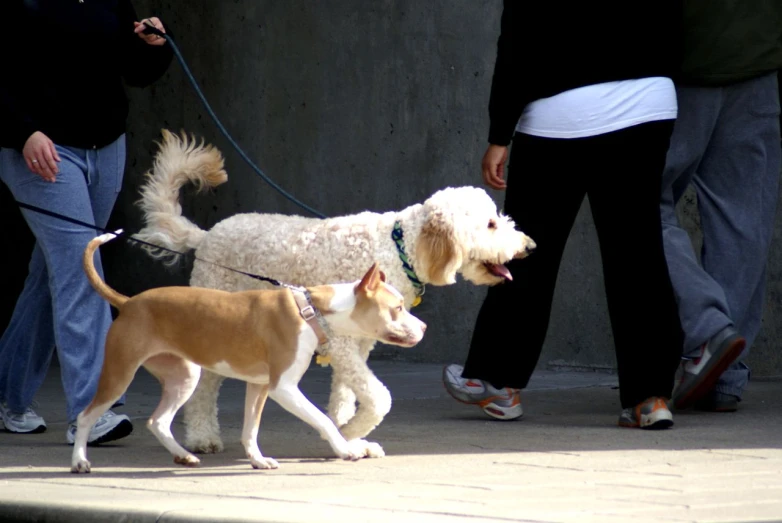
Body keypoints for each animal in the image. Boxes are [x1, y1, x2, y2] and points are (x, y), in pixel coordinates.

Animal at [72, 233, 428, 474]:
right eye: (397, 308)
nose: (424, 327)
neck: (311, 311)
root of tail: (129, 302)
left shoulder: (259, 386)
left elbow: (251, 429)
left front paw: (257, 459)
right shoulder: (283, 388)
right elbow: (324, 419)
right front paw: (344, 449)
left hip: (183, 376)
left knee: (158, 421)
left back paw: (182, 455)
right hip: (120, 372)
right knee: (86, 416)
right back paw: (79, 461)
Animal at [136, 130, 540, 454]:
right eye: (491, 224)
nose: (529, 246)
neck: (396, 247)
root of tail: (206, 236)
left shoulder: (358, 343)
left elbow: (347, 395)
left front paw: (346, 434)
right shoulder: (340, 341)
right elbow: (379, 397)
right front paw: (350, 432)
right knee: (205, 389)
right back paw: (202, 437)